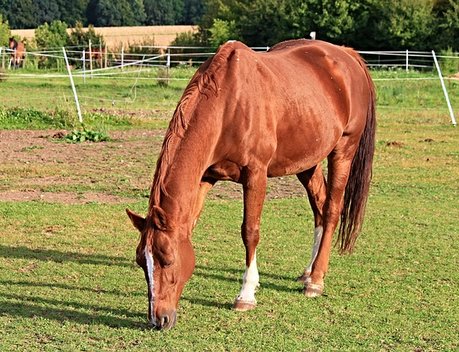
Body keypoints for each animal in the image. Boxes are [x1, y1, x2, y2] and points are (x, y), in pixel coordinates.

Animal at [126, 39, 378, 330]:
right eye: (141, 261)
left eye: (167, 259)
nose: (159, 319)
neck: (228, 104)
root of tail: (346, 54)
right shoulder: (206, 177)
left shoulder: (255, 174)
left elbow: (250, 232)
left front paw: (246, 295)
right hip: (307, 161)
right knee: (320, 207)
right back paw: (308, 271)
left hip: (343, 150)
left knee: (332, 210)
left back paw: (316, 280)